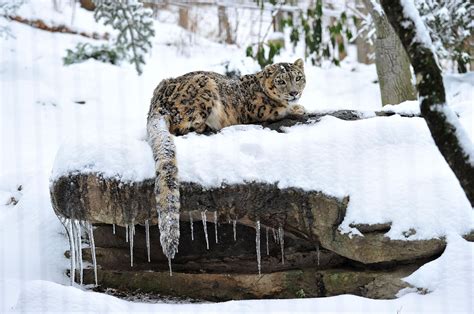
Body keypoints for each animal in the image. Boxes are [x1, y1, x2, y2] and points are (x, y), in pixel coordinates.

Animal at [146, 59, 306, 262]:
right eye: (281, 81)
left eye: (298, 78)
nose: (294, 93)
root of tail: (157, 102)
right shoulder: (260, 109)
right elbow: (280, 109)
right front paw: (299, 109)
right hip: (204, 92)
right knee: (184, 126)